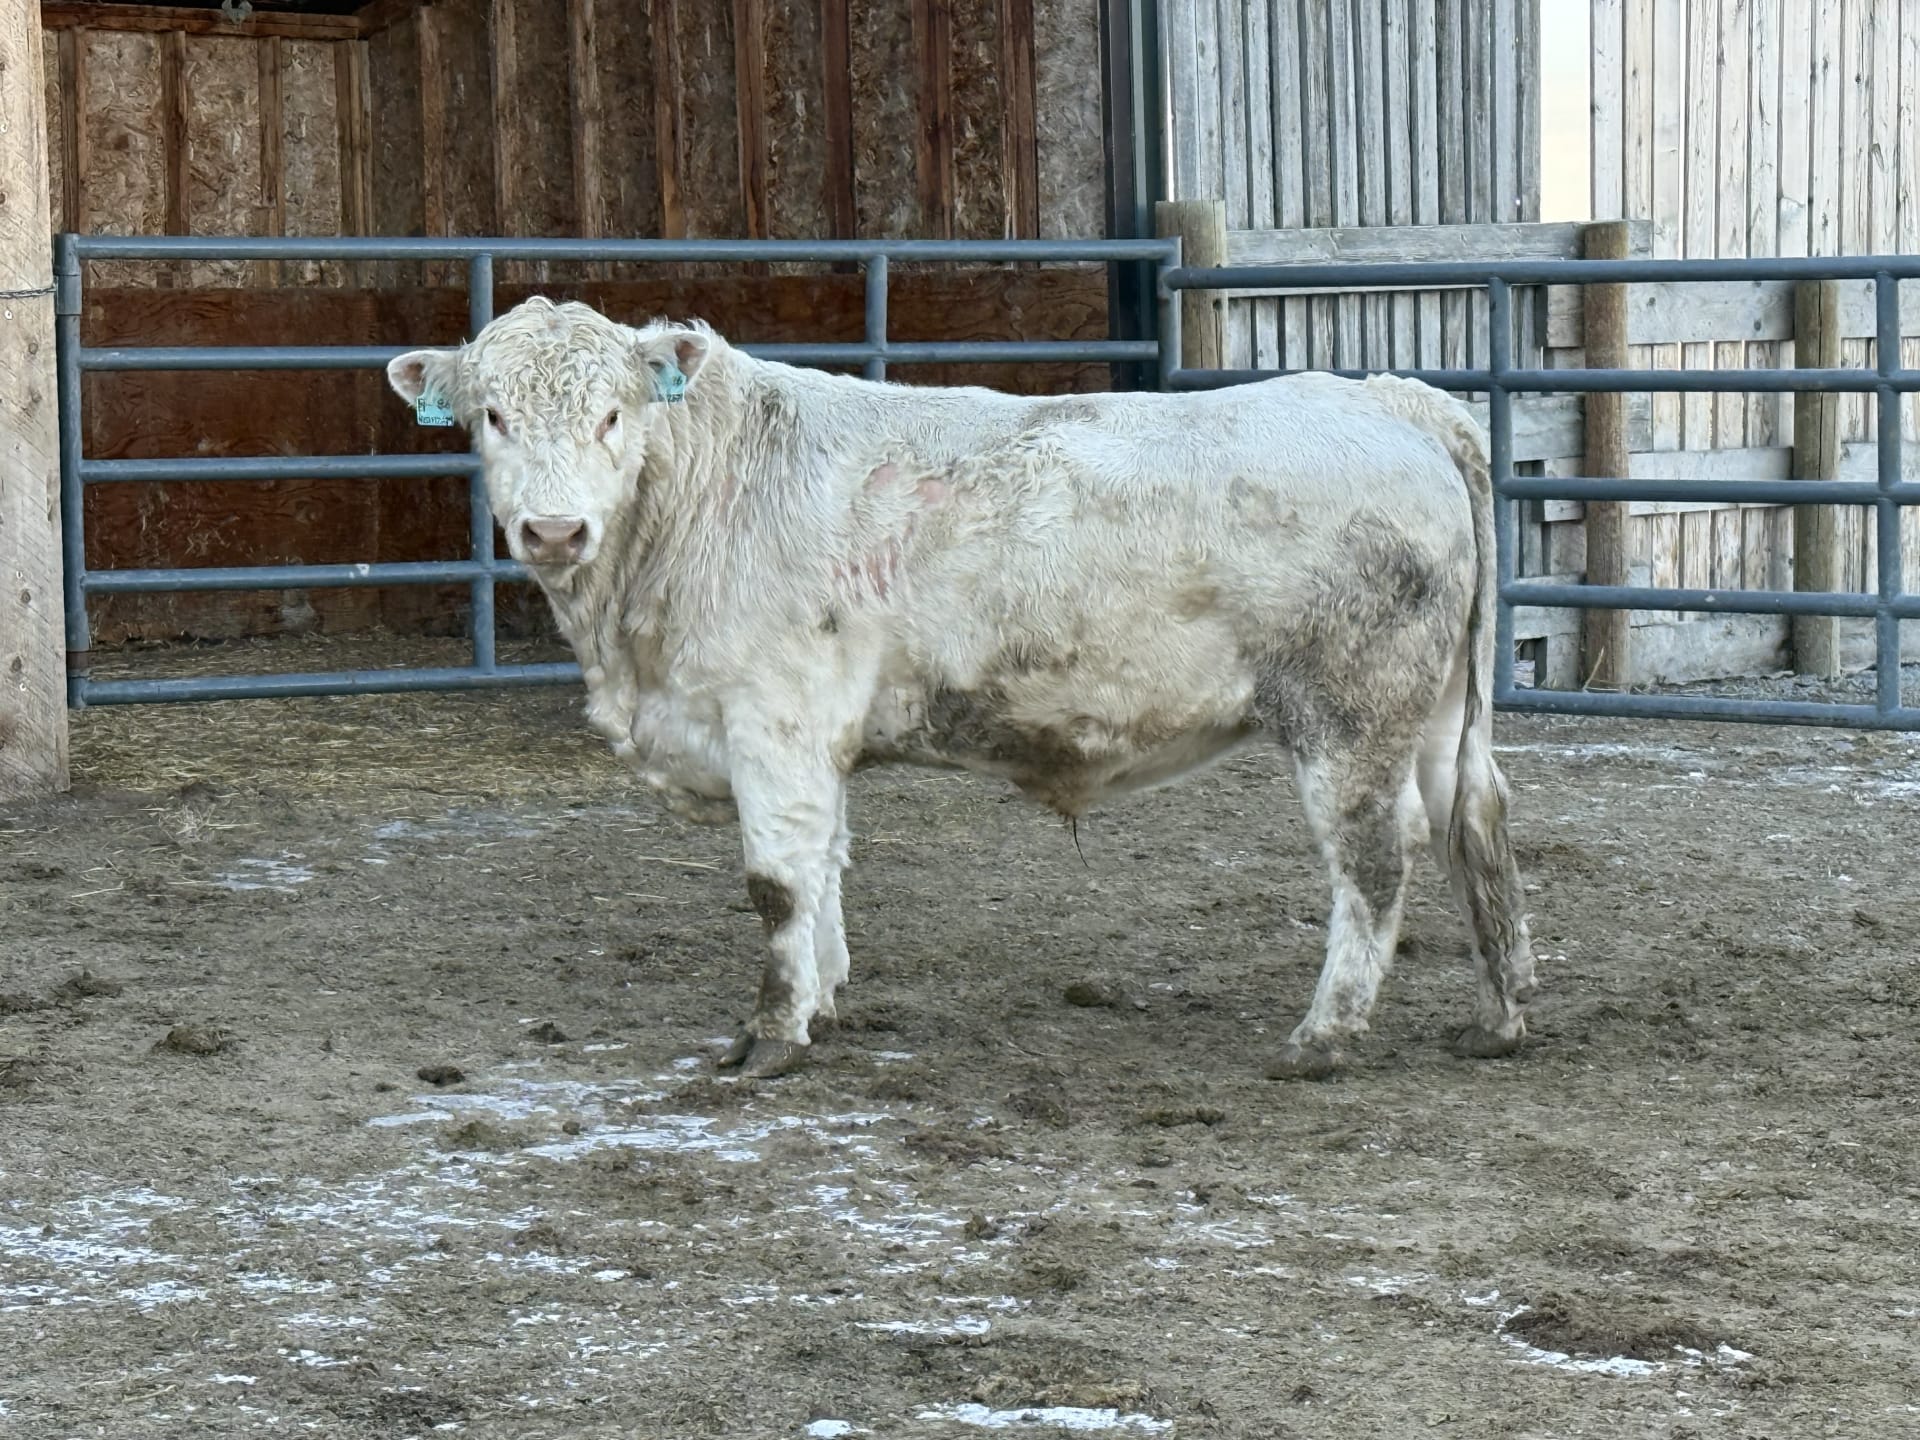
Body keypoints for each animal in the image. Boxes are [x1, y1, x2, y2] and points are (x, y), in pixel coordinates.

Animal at [386, 298, 1537, 1081]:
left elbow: (776, 882)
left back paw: (1323, 1035)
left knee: (1375, 865)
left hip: (1349, 718)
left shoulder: (772, 719)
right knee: (1476, 822)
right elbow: (825, 867)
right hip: (1440, 716)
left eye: (614, 415)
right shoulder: (817, 737)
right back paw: (1501, 1013)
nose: (552, 530)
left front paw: (770, 1036)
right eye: (492, 414)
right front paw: (825, 1002)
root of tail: (1387, 395)